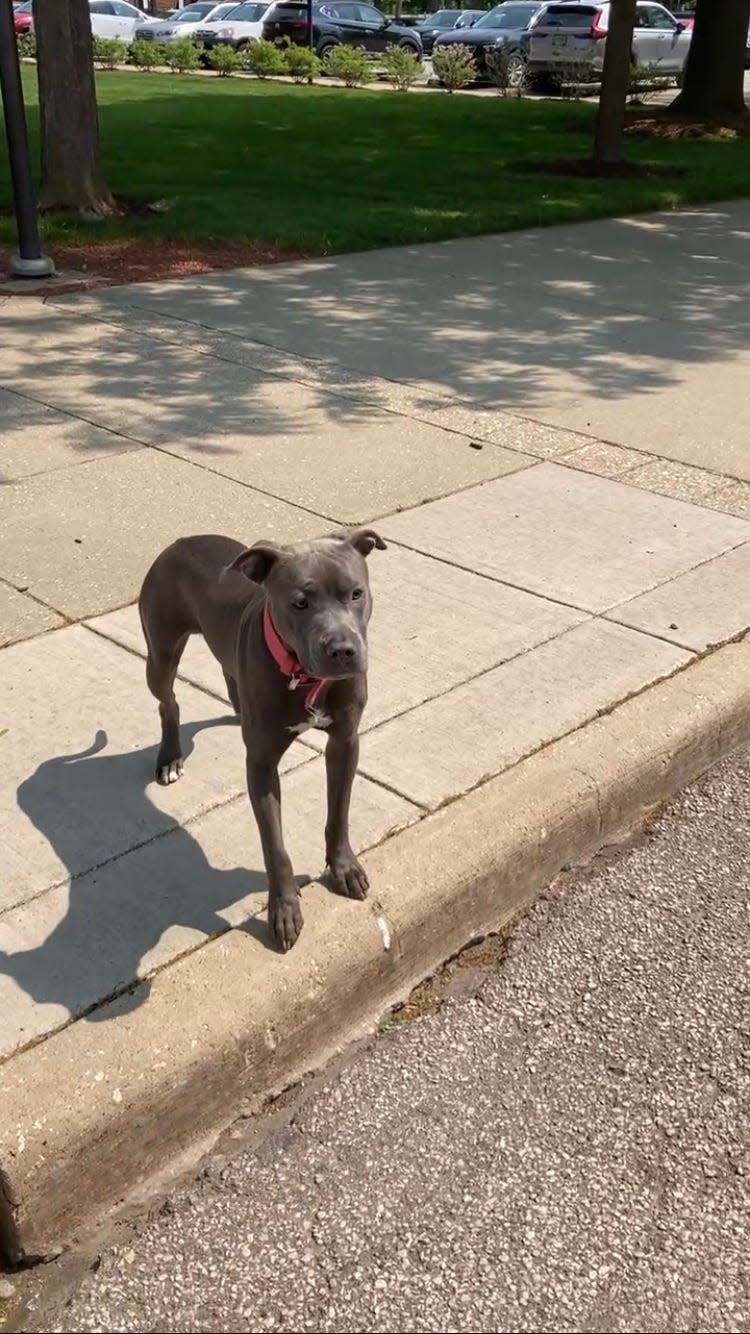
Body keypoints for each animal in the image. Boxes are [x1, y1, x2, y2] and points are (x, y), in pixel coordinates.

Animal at [137, 525, 384, 955]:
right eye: (300, 602)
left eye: (356, 593)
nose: (342, 650)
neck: (303, 677)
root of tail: (182, 541)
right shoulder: (262, 765)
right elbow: (275, 847)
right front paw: (283, 909)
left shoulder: (345, 743)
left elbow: (338, 814)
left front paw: (343, 868)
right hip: (161, 653)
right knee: (168, 702)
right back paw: (170, 757)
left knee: (227, 672)